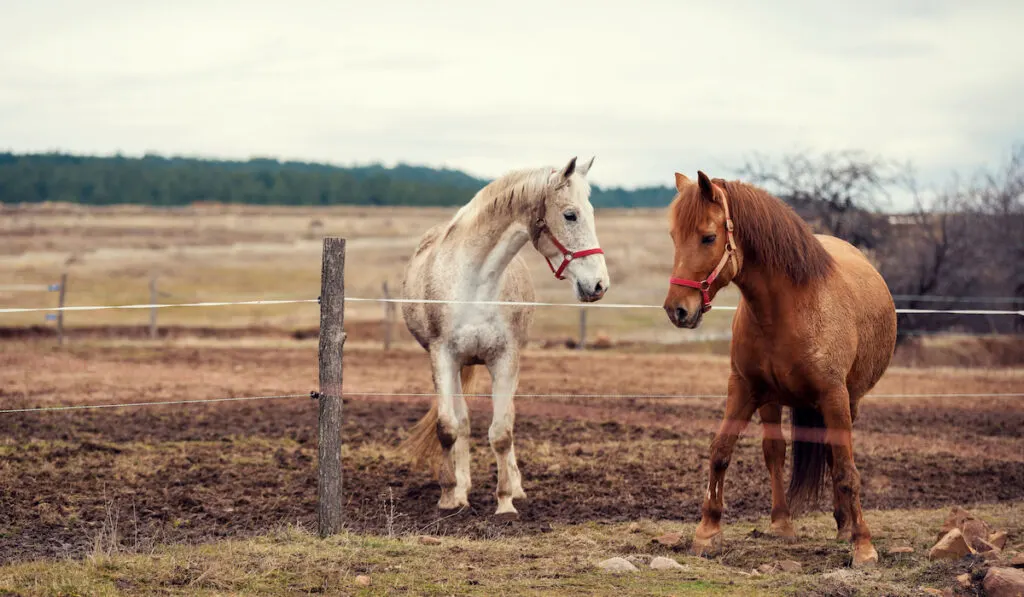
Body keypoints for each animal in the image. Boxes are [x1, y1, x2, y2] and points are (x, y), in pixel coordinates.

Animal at [397, 157, 606, 518]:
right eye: (570, 215)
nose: (598, 285)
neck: (474, 284)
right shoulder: (443, 357)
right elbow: (449, 428)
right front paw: (450, 495)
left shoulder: (505, 360)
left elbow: (502, 432)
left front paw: (506, 500)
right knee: (463, 423)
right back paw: (462, 487)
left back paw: (515, 486)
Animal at [663, 171, 897, 569]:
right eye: (674, 237)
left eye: (708, 237)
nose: (677, 309)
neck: (788, 308)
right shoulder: (743, 388)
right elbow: (721, 451)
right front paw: (707, 532)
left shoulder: (834, 397)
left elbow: (846, 470)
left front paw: (863, 546)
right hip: (772, 402)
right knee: (775, 452)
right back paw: (782, 523)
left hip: (848, 402)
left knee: (835, 458)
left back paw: (844, 526)